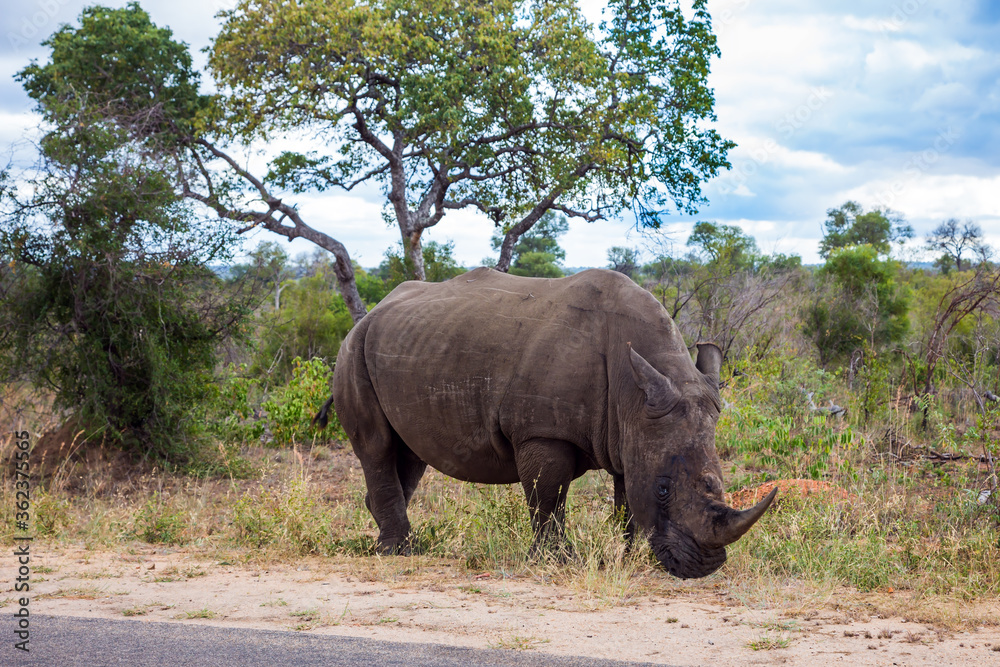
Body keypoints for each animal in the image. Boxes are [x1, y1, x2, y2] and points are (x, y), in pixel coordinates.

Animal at [316, 267, 775, 578]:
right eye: (664, 490)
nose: (705, 566)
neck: (633, 391)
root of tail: (372, 312)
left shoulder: (635, 429)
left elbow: (626, 496)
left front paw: (631, 558)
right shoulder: (542, 432)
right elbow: (549, 496)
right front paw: (557, 561)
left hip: (403, 346)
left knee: (409, 454)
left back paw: (391, 537)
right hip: (351, 350)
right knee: (377, 445)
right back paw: (399, 552)